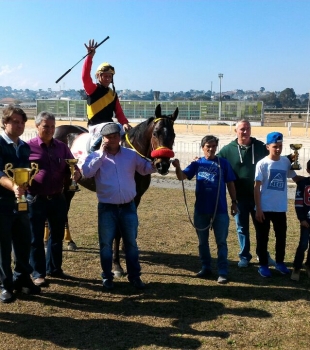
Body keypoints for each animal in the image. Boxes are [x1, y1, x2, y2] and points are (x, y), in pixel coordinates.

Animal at [54, 104, 178, 276]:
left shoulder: (136, 197)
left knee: (65, 209)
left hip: (70, 186)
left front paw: (127, 248)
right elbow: (117, 232)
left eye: (173, 135)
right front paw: (117, 265)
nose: (163, 165)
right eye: (155, 133)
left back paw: (69, 241)